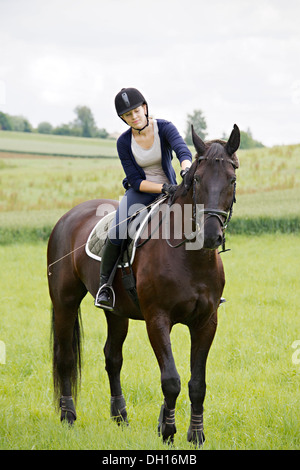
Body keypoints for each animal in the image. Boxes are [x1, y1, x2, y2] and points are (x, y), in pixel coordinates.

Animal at [47, 124, 239, 444]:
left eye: (232, 179)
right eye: (198, 179)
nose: (211, 235)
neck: (190, 256)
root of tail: (68, 216)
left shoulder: (206, 321)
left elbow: (197, 383)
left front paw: (195, 434)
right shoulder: (157, 319)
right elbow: (171, 379)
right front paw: (168, 431)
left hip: (116, 312)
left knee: (112, 357)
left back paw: (120, 417)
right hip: (64, 301)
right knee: (65, 357)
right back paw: (68, 416)